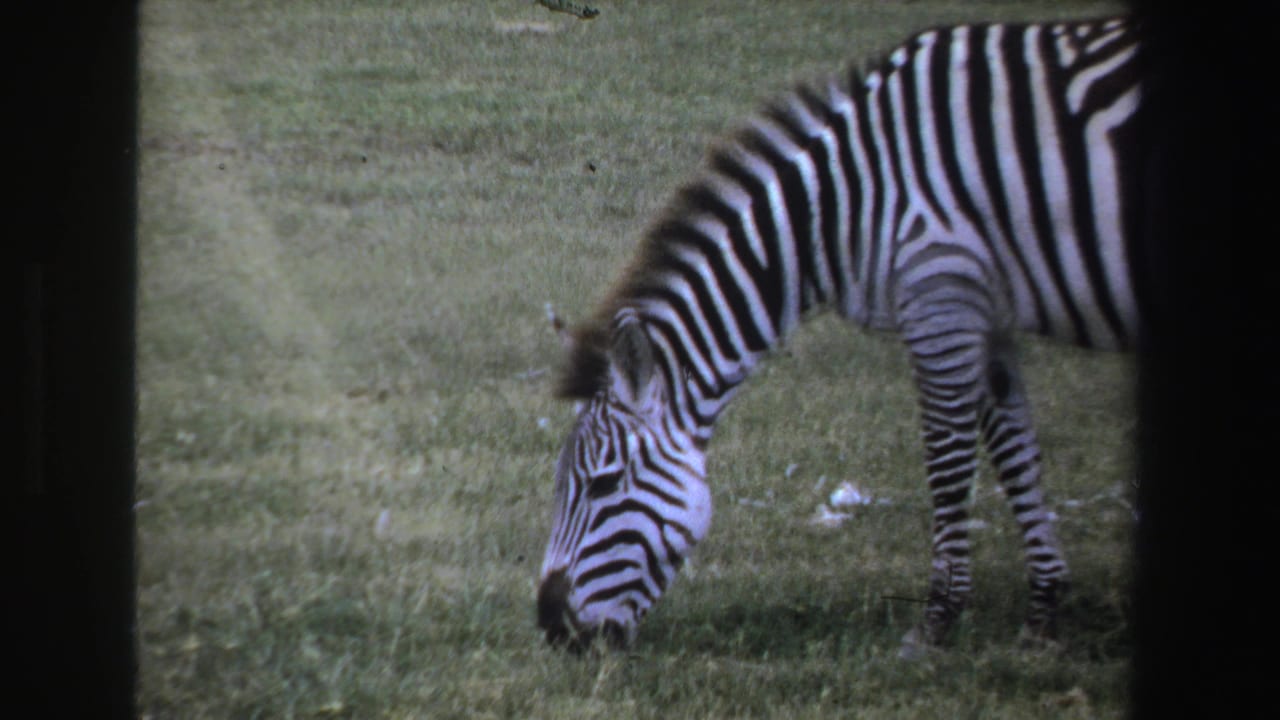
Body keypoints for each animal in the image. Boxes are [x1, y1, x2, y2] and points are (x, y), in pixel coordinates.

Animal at [537, 16, 1142, 654]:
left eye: (601, 486)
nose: (551, 627)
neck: (846, 206)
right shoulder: (986, 312)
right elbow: (1015, 452)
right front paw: (1044, 610)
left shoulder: (940, 296)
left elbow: (948, 460)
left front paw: (938, 618)